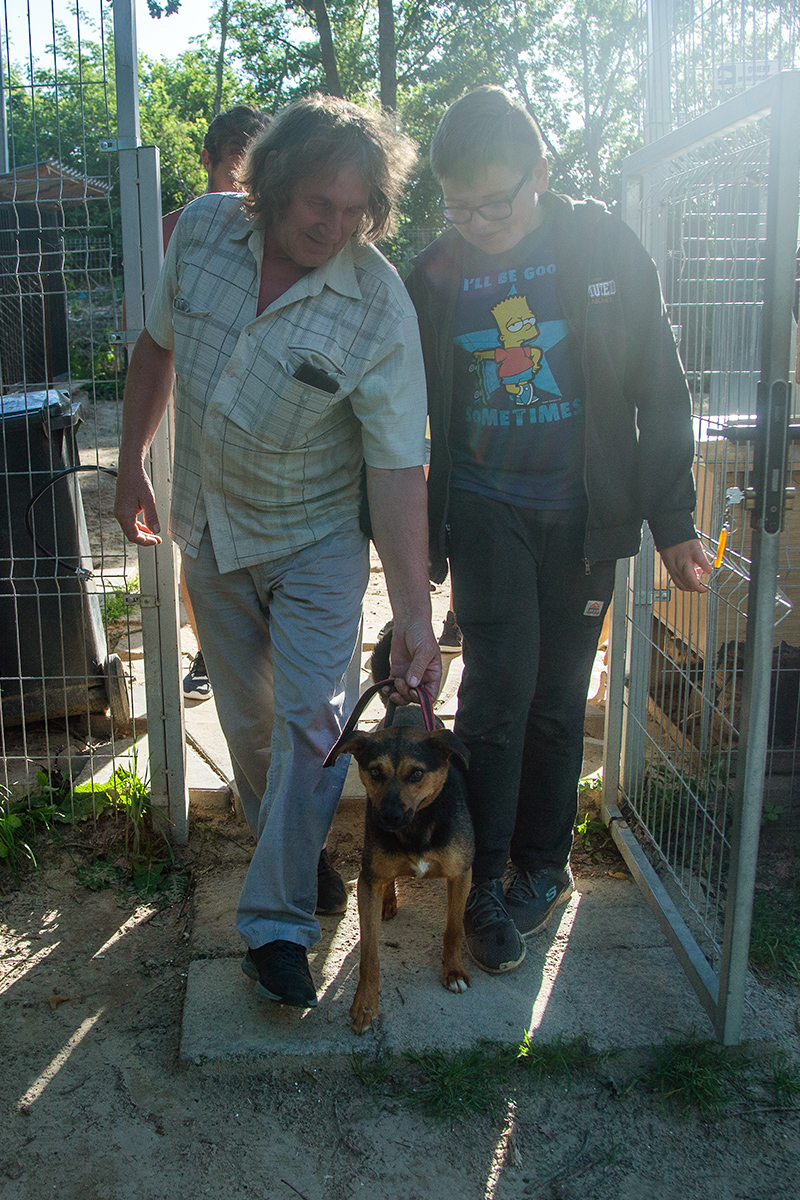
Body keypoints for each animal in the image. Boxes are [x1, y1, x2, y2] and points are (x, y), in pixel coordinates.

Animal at [327, 630, 474, 1034]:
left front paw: (454, 971)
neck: (417, 827)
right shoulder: (367, 880)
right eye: (374, 771)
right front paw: (365, 1003)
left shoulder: (461, 874)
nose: (389, 816)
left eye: (417, 774)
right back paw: (390, 898)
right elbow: (369, 953)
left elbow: (454, 928)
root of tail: (406, 707)